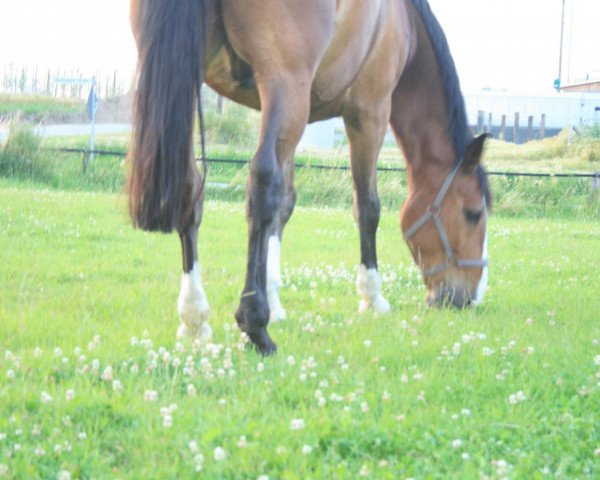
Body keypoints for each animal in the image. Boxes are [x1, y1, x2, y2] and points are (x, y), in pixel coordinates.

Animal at [129, 0, 490, 356]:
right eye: (473, 214)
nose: (469, 298)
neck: (406, 26)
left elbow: (285, 206)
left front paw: (275, 299)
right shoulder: (369, 112)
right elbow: (367, 208)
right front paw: (372, 297)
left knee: (191, 187)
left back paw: (194, 317)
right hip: (287, 83)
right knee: (261, 184)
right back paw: (254, 325)